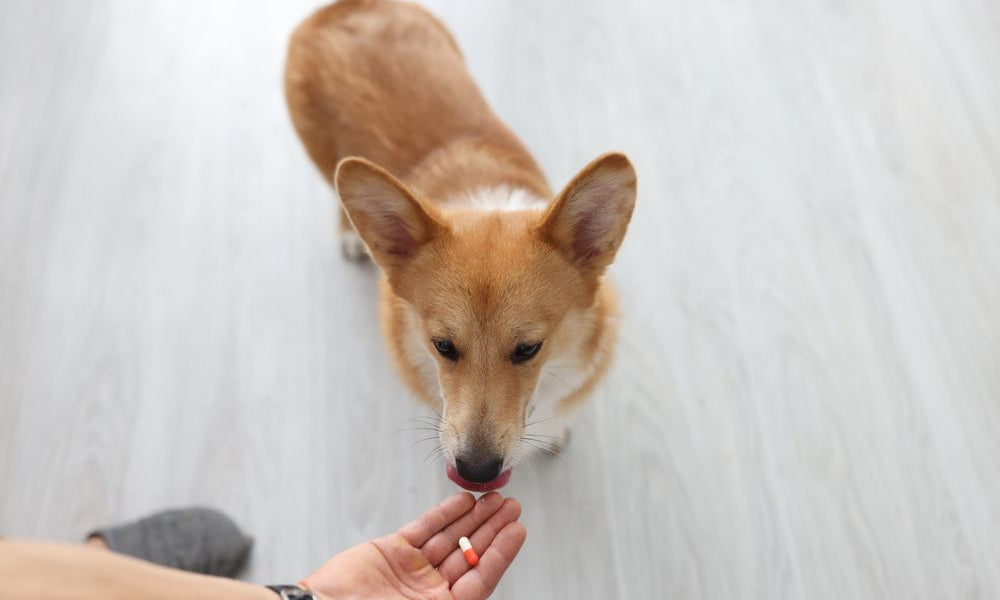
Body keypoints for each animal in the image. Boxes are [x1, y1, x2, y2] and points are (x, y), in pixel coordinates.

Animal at [286, 0, 636, 492]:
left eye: (528, 349)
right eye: (443, 346)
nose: (476, 472)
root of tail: (344, 8)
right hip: (325, 158)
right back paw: (350, 235)